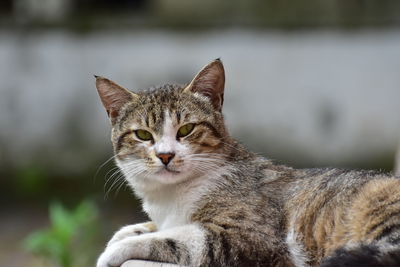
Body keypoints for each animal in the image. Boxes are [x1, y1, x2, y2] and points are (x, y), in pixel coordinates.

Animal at [95, 59, 400, 266]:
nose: (166, 155)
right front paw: (124, 234)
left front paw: (113, 251)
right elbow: (148, 228)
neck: (171, 198)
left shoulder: (250, 239)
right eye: (143, 134)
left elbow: (173, 237)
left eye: (186, 129)